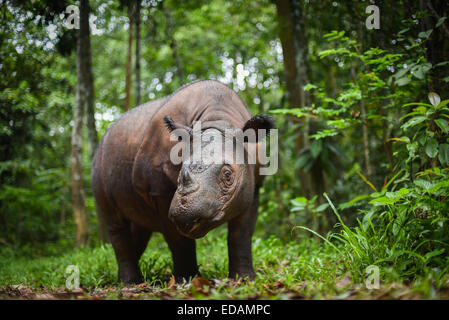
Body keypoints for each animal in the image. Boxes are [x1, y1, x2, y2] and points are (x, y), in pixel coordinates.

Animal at [91, 79, 272, 282]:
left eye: (228, 175)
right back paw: (130, 282)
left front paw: (245, 279)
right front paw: (187, 280)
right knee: (115, 222)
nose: (186, 212)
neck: (217, 119)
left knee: (139, 225)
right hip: (99, 164)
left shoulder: (254, 186)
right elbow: (178, 240)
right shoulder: (159, 190)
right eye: (180, 172)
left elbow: (241, 235)